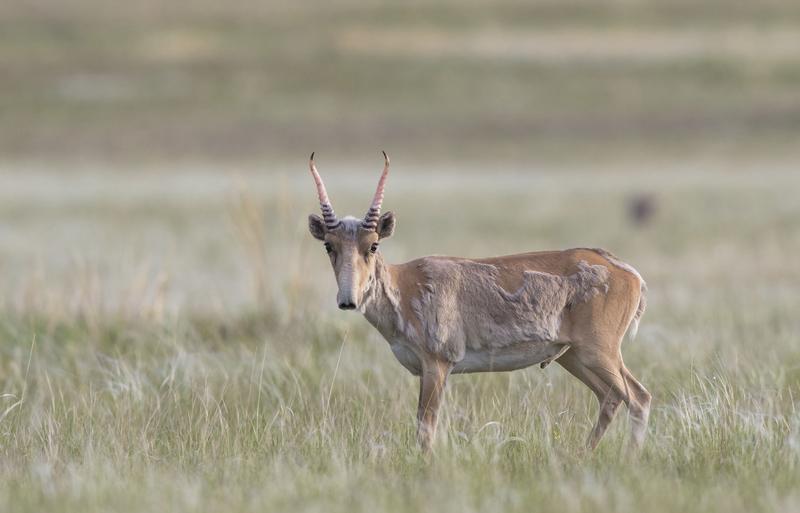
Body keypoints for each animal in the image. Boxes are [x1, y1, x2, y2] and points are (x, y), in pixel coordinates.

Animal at [306, 152, 648, 448]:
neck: (404, 286)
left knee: (638, 397)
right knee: (611, 398)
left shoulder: (438, 365)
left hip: (598, 352)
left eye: (373, 245)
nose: (348, 300)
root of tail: (630, 274)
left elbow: (426, 428)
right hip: (573, 356)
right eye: (329, 246)